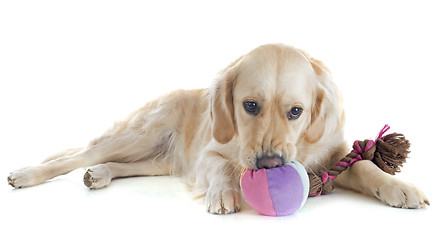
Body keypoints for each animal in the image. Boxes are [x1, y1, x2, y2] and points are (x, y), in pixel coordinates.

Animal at [6, 44, 428, 213]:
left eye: (296, 111)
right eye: (250, 105)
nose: (271, 165)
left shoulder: (332, 151)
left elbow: (363, 165)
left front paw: (401, 188)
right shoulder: (210, 153)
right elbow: (225, 167)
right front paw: (223, 194)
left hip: (158, 161)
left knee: (116, 165)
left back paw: (100, 174)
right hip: (140, 134)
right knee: (73, 156)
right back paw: (26, 174)